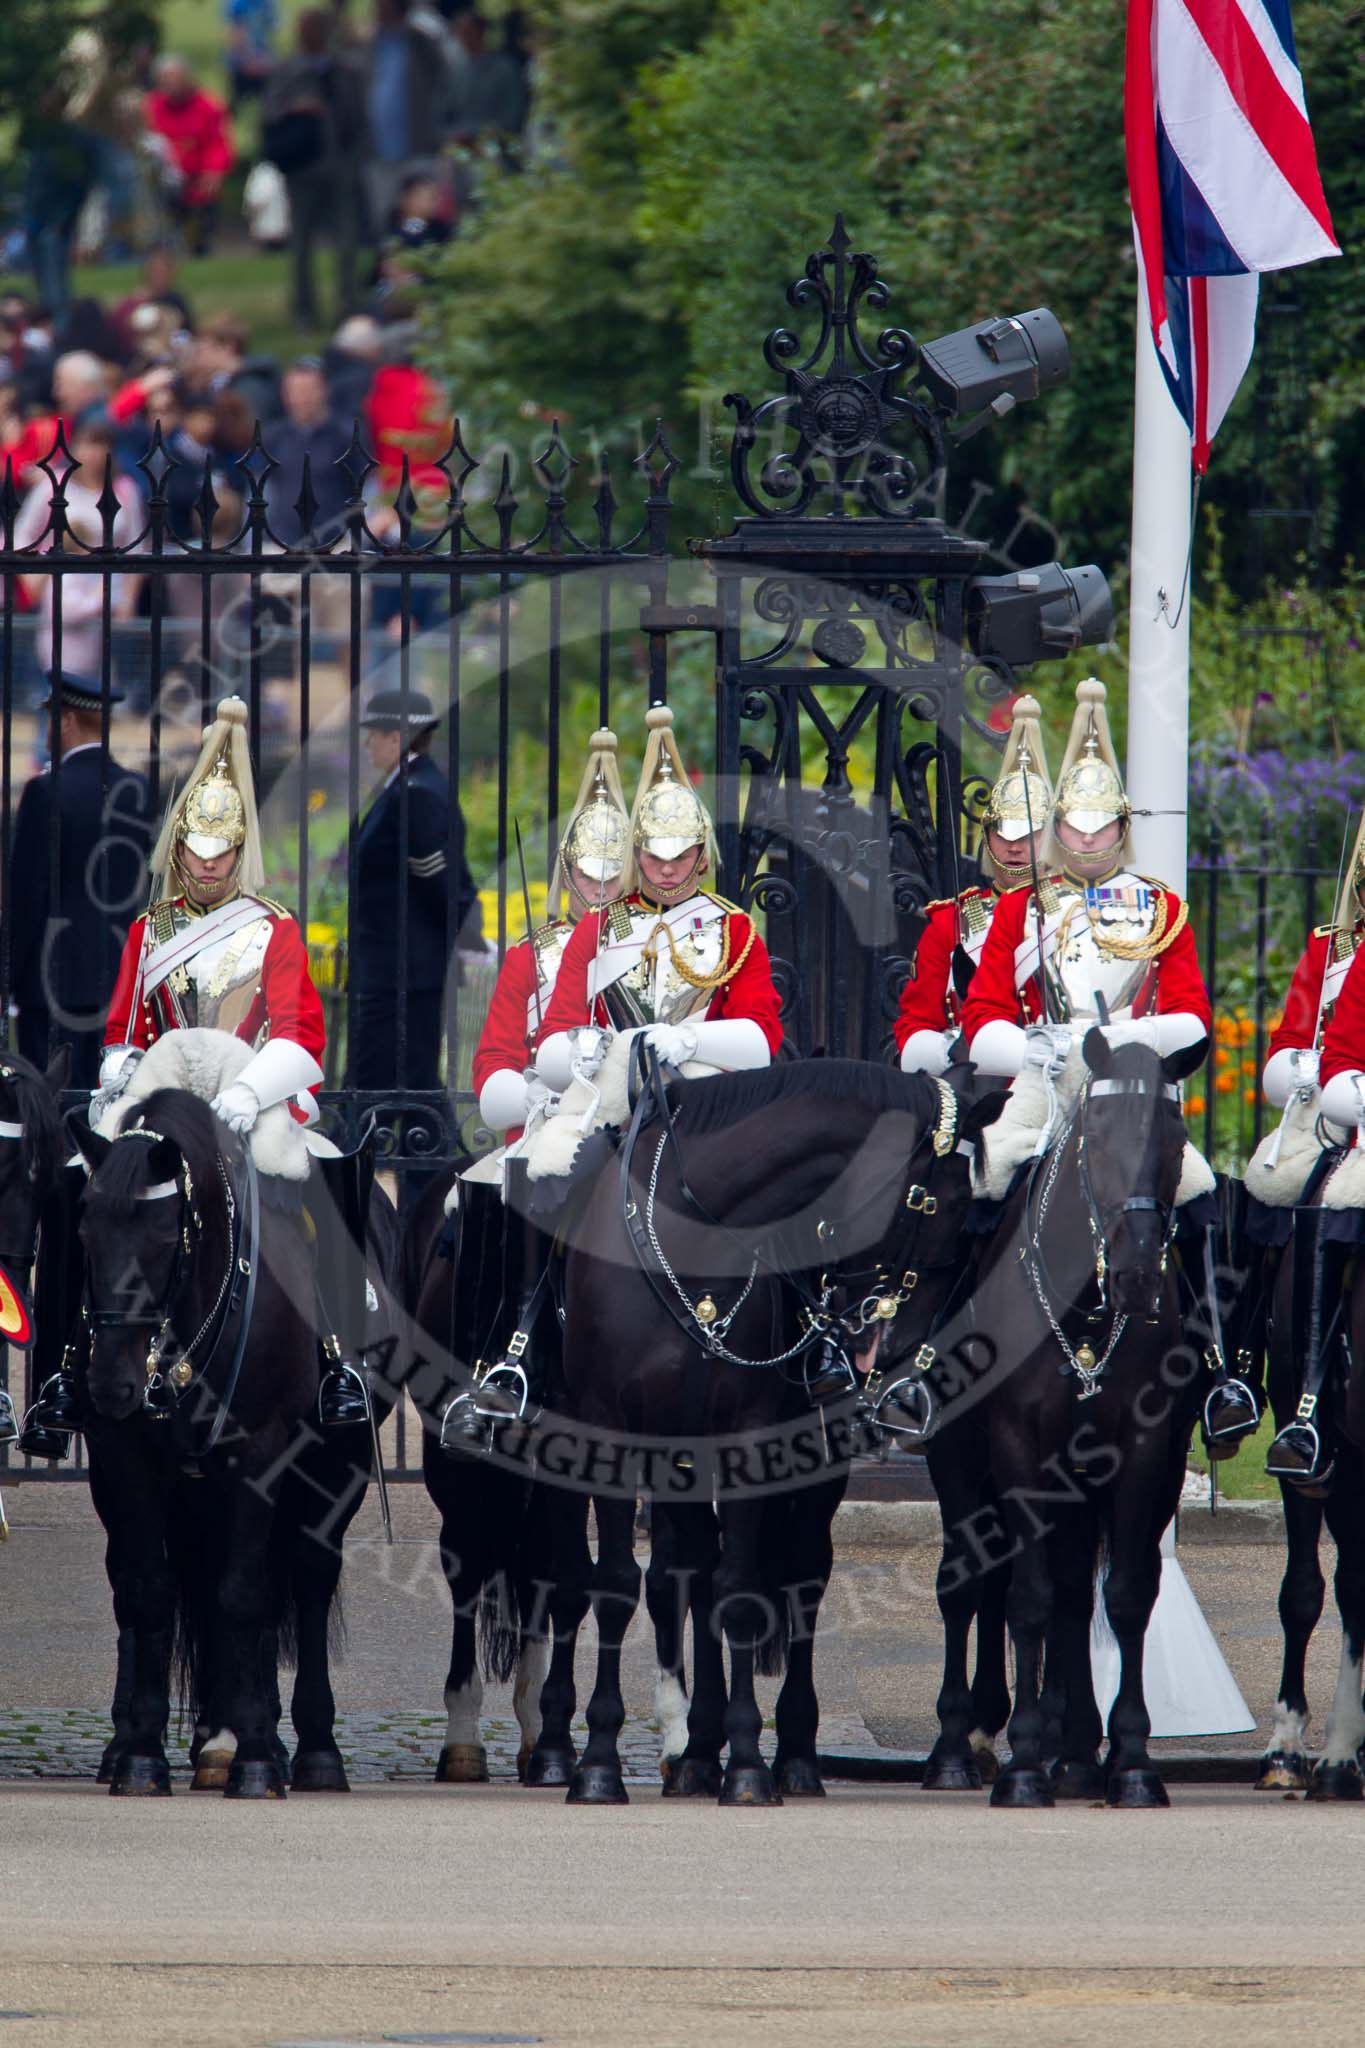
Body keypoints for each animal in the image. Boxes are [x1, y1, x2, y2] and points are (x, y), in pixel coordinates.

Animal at [76, 1089, 388, 1794]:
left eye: (166, 1238)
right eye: (84, 1233)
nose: (111, 1385)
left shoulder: (260, 1455)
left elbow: (244, 1596)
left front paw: (254, 1760)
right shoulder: (127, 1459)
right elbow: (149, 1591)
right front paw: (141, 1755)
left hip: (338, 1465)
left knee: (306, 1579)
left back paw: (307, 1750)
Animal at [548, 1056, 957, 1810]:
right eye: (940, 1201)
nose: (891, 1353)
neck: (694, 1240)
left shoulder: (746, 1438)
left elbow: (739, 1589)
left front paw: (743, 1762)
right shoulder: (612, 1435)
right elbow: (619, 1584)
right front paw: (600, 1762)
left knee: (800, 1576)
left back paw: (787, 1754)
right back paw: (662, 1752)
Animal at [961, 1040, 1203, 1810]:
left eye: (1175, 1141)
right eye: (1094, 1135)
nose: (1137, 1276)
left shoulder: (1145, 1452)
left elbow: (1125, 1596)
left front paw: (1130, 1759)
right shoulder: (1018, 1450)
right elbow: (1029, 1599)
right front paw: (1022, 1765)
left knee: (1079, 1589)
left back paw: (1075, 1751)